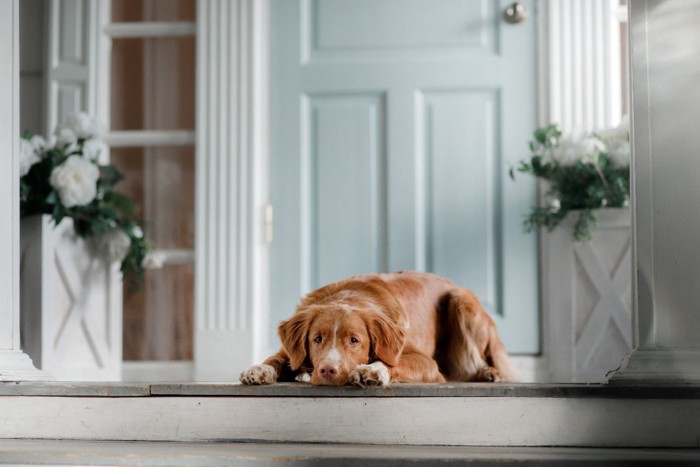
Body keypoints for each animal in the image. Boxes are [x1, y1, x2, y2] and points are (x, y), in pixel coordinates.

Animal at [241, 270, 520, 388]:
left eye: (354, 340)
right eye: (317, 339)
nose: (327, 370)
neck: (349, 297)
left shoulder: (427, 363)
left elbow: (393, 363)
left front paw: (372, 370)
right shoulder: (291, 349)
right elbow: (276, 358)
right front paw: (259, 369)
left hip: (461, 301)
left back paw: (490, 373)